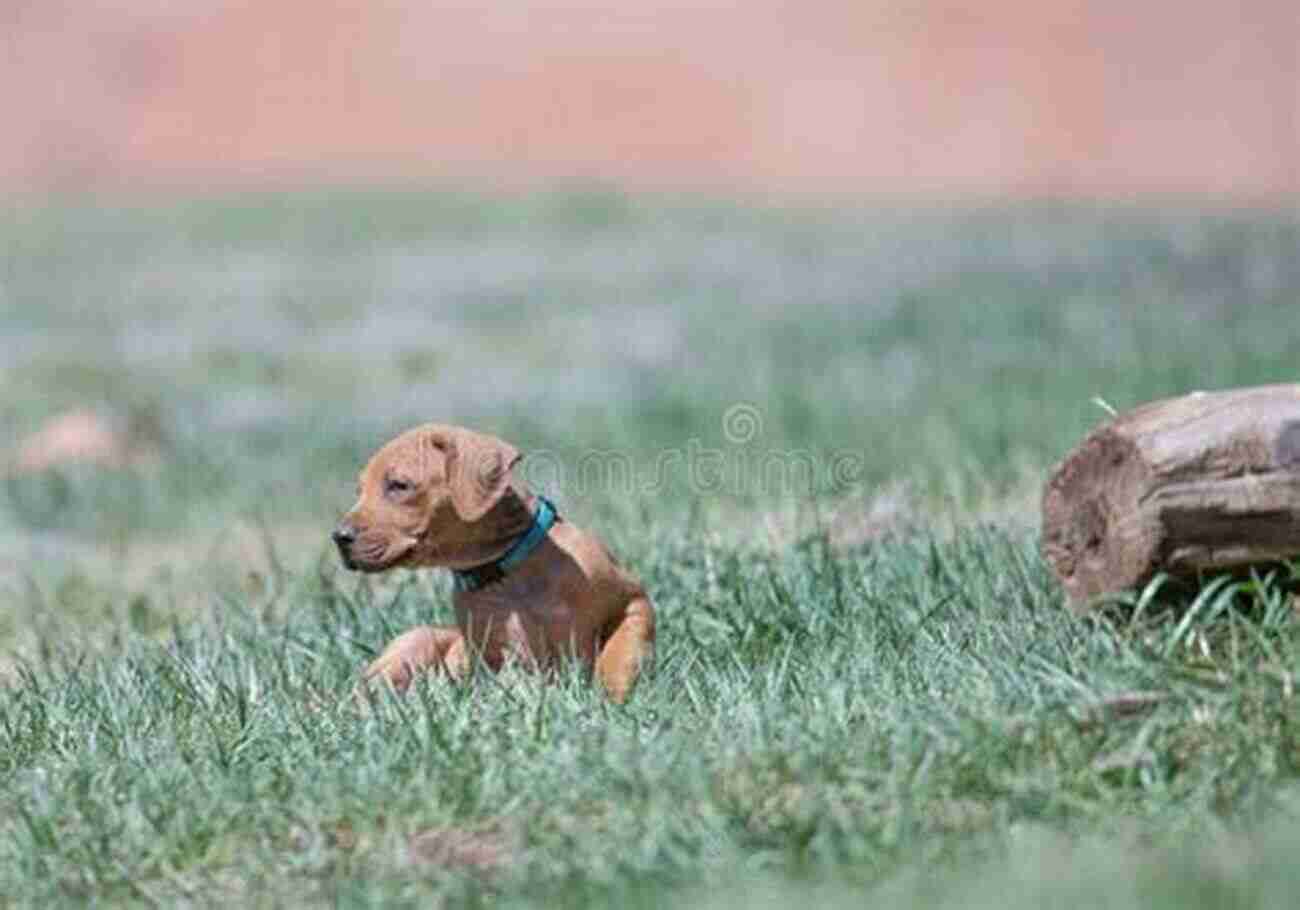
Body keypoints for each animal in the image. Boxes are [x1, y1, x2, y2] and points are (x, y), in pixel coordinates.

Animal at [330, 423, 655, 702]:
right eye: (360, 491)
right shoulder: (498, 656)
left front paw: (612, 697)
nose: (339, 537)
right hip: (413, 641)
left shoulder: (631, 600)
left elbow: (622, 651)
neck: (513, 573)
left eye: (399, 485)